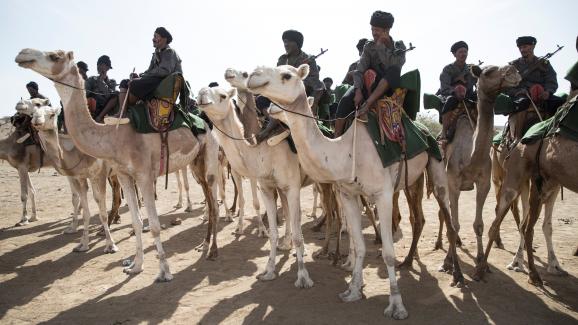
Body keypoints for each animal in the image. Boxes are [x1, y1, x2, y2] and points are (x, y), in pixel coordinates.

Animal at [16, 47, 220, 280]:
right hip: (196, 164)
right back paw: (204, 246)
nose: (23, 54)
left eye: (55, 56)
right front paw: (136, 266)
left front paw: (164, 272)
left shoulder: (143, 175)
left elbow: (155, 225)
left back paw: (213, 251)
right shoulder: (124, 175)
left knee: (214, 203)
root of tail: (206, 123)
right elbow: (137, 221)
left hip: (211, 155)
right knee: (208, 199)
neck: (113, 137)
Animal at [196, 82, 312, 288]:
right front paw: (269, 271)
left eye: (223, 96)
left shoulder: (292, 186)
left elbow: (296, 229)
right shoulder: (267, 186)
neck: (263, 150)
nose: (201, 94)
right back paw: (286, 244)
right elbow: (274, 231)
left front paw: (303, 276)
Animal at [245, 64, 462, 318]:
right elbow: (359, 245)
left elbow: (388, 252)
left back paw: (455, 273)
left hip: (436, 165)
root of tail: (425, 130)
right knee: (419, 218)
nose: (253, 75)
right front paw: (353, 290)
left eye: (287, 75)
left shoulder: (382, 195)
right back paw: (410, 262)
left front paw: (396, 305)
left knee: (448, 217)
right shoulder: (348, 194)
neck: (346, 152)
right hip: (412, 181)